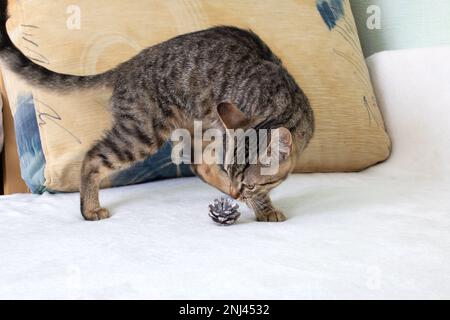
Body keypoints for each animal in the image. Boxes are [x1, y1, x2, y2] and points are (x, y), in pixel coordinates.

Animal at [0, 1, 314, 222]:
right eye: (238, 179)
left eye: (246, 184)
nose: (237, 192)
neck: (279, 98)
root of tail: (128, 65)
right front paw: (264, 208)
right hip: (143, 132)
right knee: (92, 156)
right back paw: (90, 209)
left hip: (204, 125)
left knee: (198, 163)